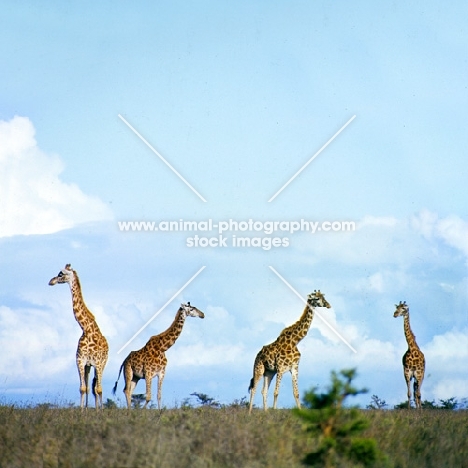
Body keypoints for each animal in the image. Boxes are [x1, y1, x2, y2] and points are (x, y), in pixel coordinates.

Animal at [48, 264, 109, 410]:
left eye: (61, 273)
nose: (51, 281)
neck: (86, 329)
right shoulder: (80, 361)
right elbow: (83, 388)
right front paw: (82, 411)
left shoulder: (98, 363)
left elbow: (99, 389)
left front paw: (101, 411)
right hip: (88, 366)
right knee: (90, 387)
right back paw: (89, 408)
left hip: (102, 364)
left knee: (97, 387)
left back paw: (98, 409)